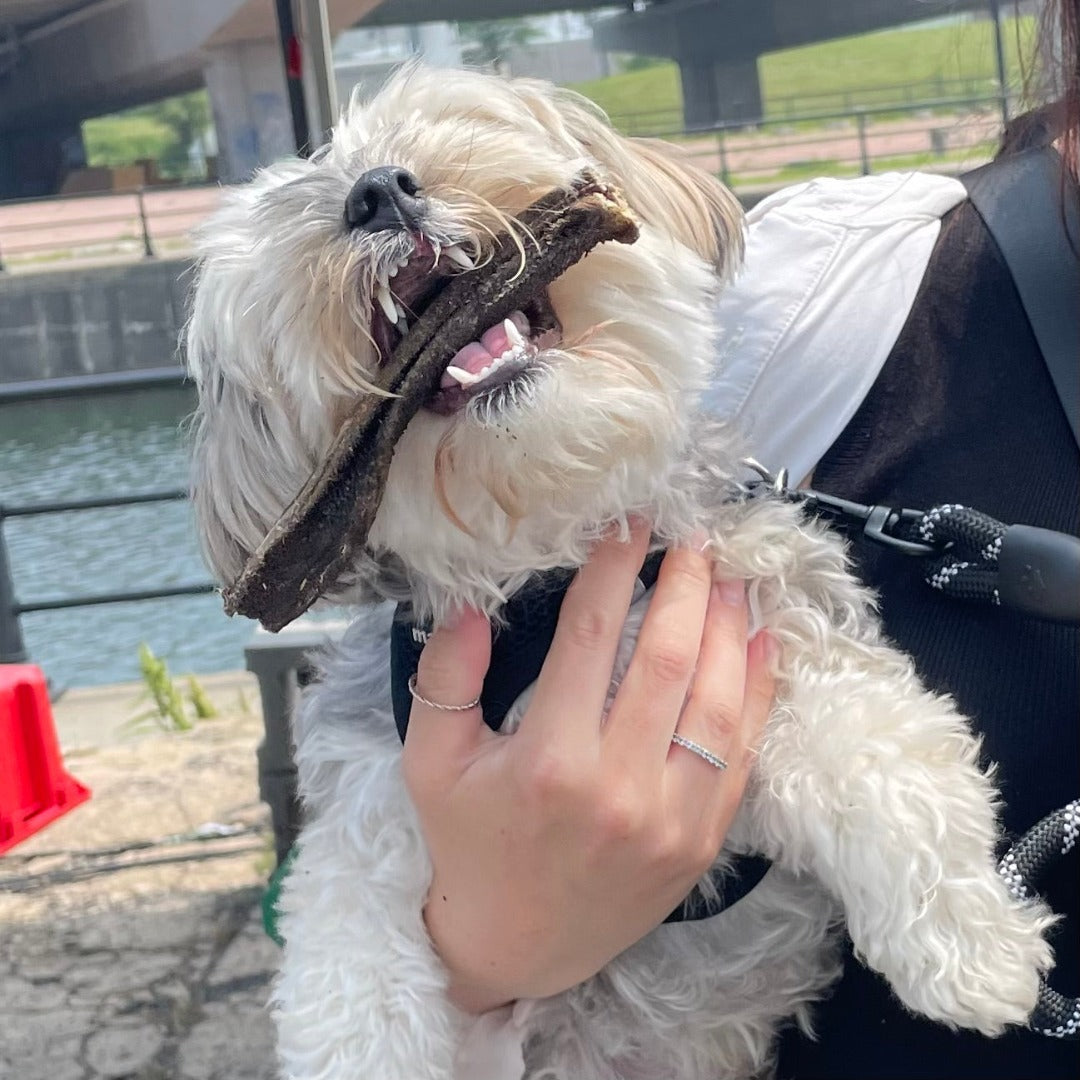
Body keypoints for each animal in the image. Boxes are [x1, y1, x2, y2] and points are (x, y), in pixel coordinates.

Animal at [187, 65, 1054, 1080]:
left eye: (452, 120)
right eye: (301, 222)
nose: (378, 193)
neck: (550, 568)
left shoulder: (778, 622)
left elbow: (883, 757)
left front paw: (974, 949)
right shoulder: (375, 798)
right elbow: (345, 962)